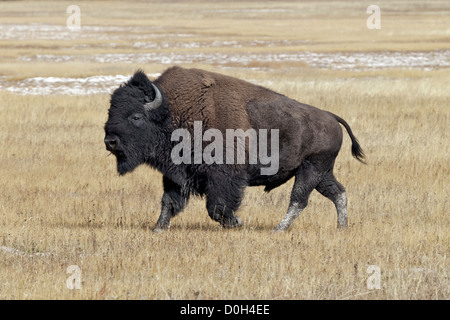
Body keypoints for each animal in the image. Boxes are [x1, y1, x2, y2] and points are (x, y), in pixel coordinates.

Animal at [103, 67, 364, 232]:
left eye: (136, 116)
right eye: (111, 111)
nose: (110, 141)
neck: (171, 112)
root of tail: (331, 117)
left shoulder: (223, 177)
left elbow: (217, 207)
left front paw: (236, 223)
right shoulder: (175, 176)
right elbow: (168, 202)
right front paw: (158, 229)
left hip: (311, 169)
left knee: (299, 200)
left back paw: (278, 229)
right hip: (321, 172)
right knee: (338, 193)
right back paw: (342, 228)